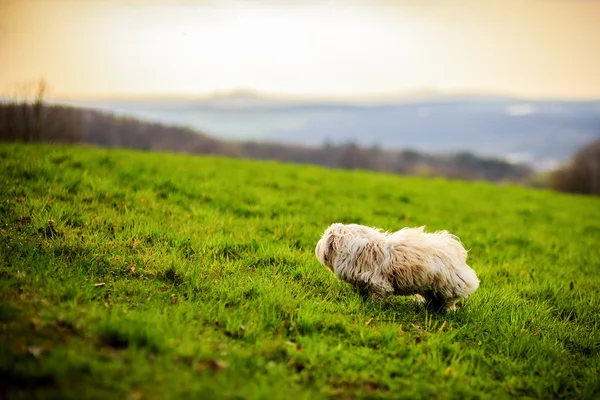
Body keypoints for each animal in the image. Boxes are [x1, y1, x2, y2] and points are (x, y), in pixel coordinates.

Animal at [314, 223, 478, 310]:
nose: (319, 243)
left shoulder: (378, 284)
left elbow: (376, 297)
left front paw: (372, 307)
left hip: (448, 287)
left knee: (447, 302)